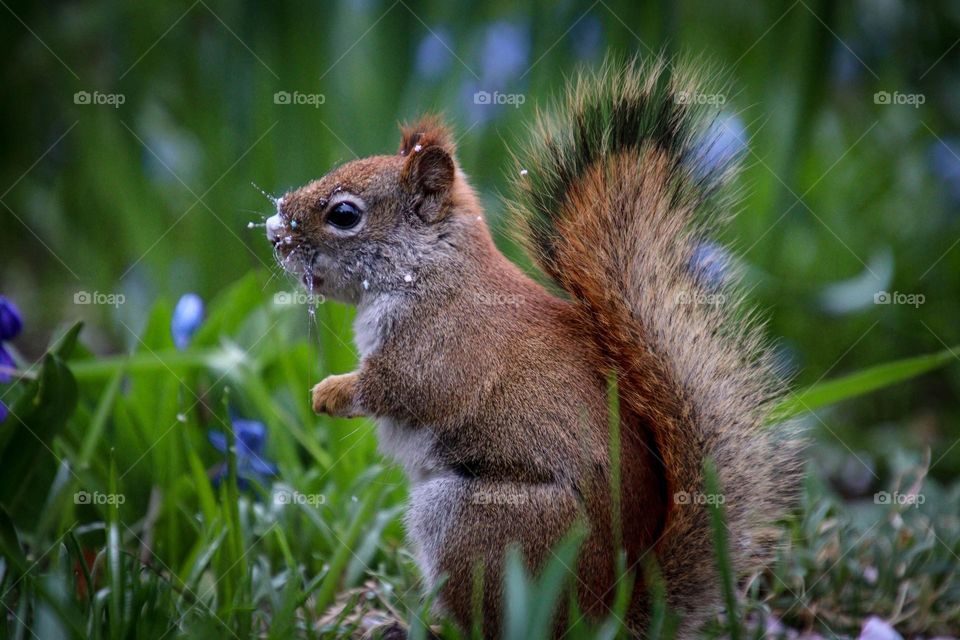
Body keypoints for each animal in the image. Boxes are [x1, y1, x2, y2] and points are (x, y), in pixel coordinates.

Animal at [265, 58, 802, 637]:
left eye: (344, 214)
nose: (274, 234)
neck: (430, 268)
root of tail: (610, 611)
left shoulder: (444, 343)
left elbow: (405, 387)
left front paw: (330, 392)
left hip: (474, 524)